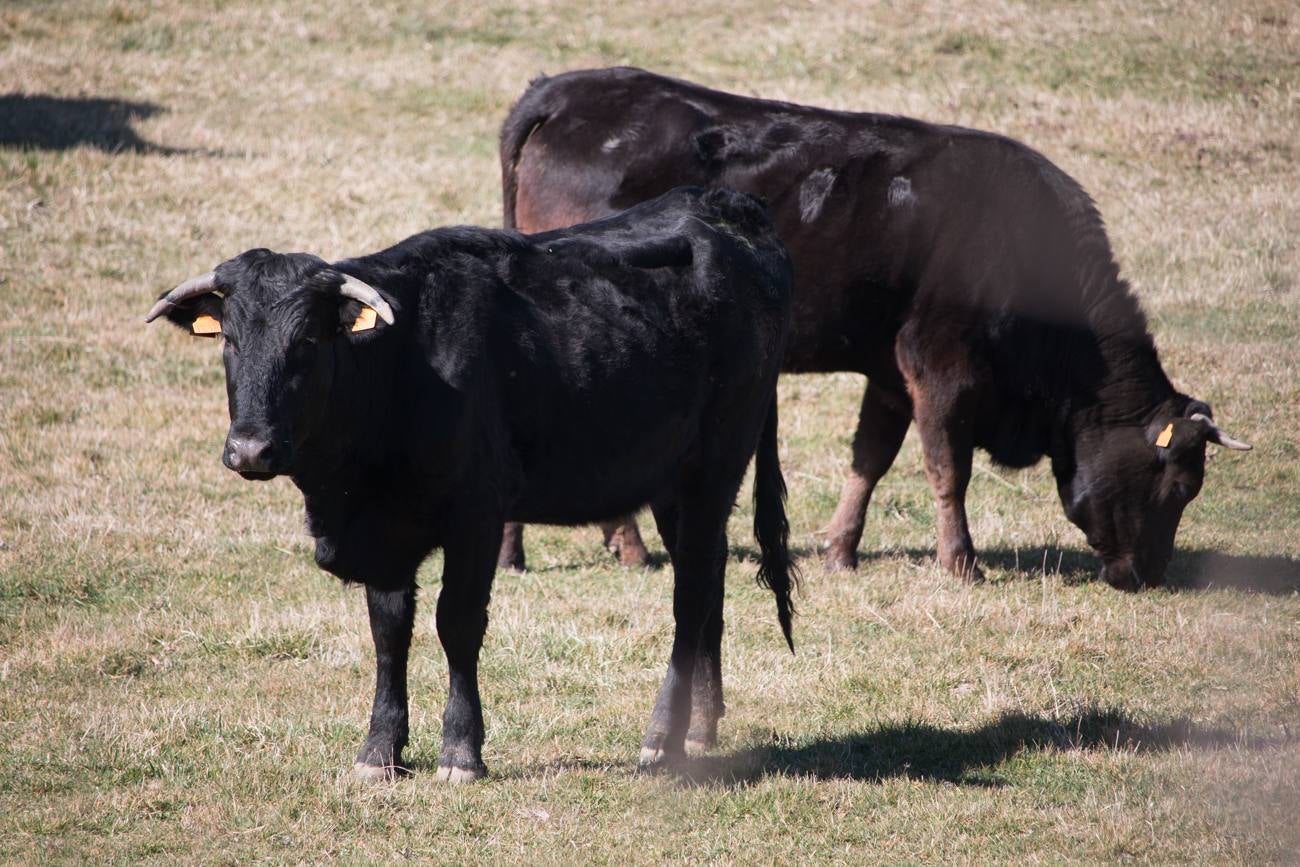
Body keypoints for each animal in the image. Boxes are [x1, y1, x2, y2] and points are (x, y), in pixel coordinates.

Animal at [144, 188, 790, 779]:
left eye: (306, 340)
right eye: (230, 340)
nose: (250, 449)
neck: (399, 367)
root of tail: (721, 208)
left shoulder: (477, 517)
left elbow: (456, 623)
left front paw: (460, 751)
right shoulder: (387, 533)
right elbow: (388, 632)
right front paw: (379, 750)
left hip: (715, 465)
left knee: (691, 595)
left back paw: (662, 738)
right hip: (671, 483)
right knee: (707, 582)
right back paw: (700, 727)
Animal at [493, 66, 1248, 590]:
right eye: (1178, 487)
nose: (1149, 576)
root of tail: (564, 91)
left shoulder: (888, 372)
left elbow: (870, 459)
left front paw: (840, 550)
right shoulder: (940, 362)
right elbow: (947, 467)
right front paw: (961, 563)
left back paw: (526, 550)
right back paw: (624, 545)